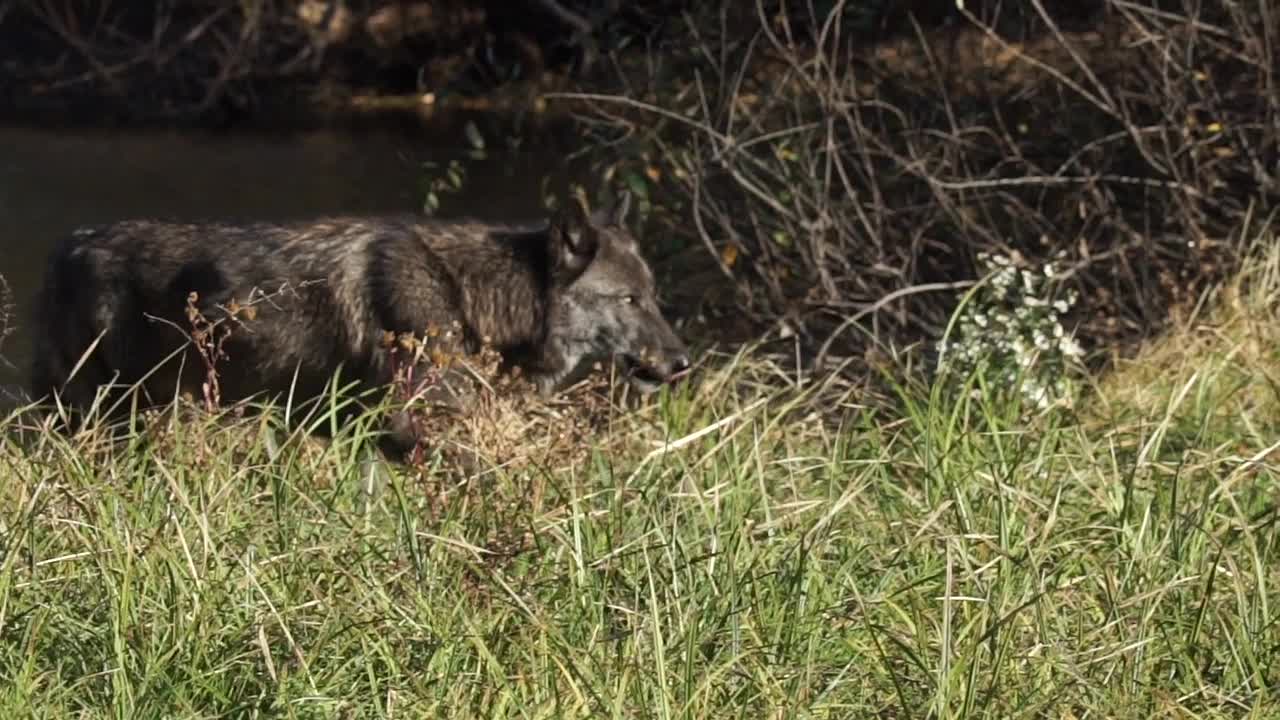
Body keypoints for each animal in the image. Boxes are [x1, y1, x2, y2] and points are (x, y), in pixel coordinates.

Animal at [27, 190, 691, 453]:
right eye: (629, 300)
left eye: (654, 296)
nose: (684, 362)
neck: (470, 296)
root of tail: (67, 244)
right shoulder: (418, 432)